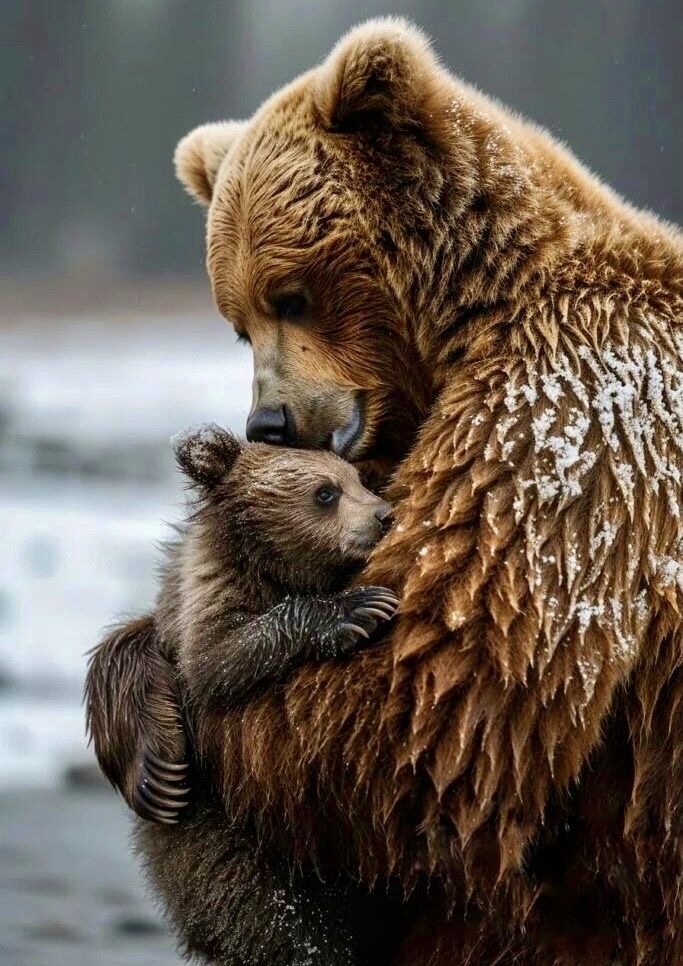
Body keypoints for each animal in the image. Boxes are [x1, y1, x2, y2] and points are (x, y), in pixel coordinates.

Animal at [103, 17, 683, 966]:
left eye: (291, 294)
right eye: (236, 320)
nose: (269, 421)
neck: (466, 316)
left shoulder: (568, 418)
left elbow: (415, 708)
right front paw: (137, 715)